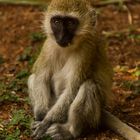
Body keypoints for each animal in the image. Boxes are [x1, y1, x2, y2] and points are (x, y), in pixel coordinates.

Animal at [27, 0, 140, 140]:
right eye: (56, 21)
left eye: (71, 23)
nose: (61, 37)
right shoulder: (48, 46)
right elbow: (41, 78)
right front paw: (41, 115)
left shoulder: (86, 51)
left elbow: (72, 89)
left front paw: (46, 122)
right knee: (33, 78)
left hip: (94, 114)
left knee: (89, 87)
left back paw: (70, 131)